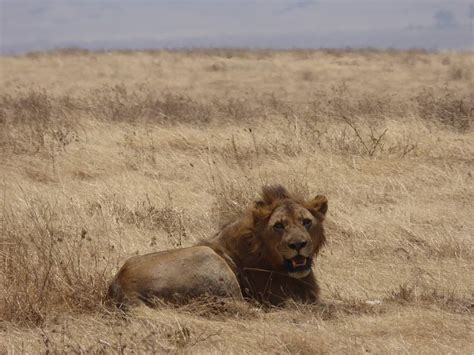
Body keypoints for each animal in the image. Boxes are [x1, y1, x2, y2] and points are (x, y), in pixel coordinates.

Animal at [107, 185, 328, 308]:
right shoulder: (286, 297)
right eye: (279, 226)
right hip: (211, 260)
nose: (298, 244)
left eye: (306, 222)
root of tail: (121, 285)